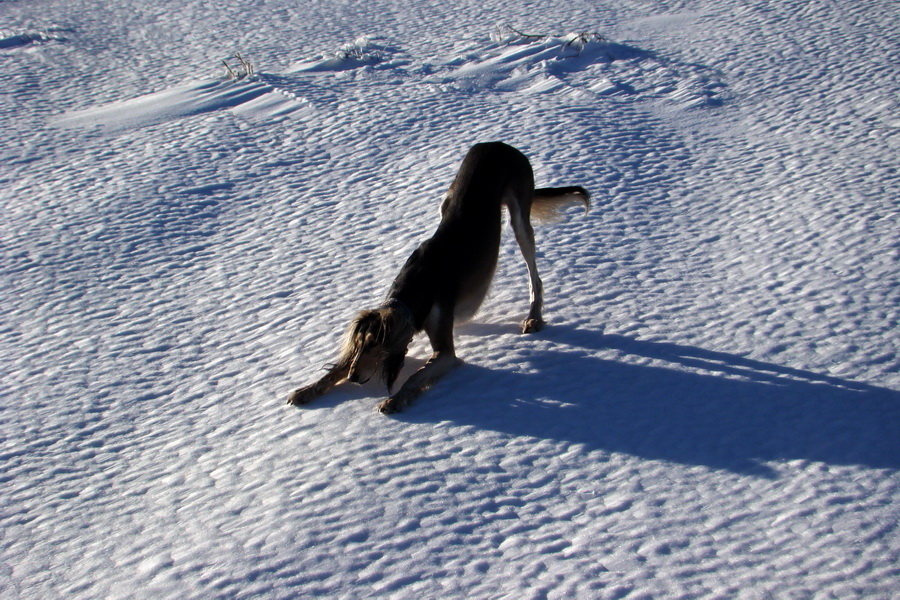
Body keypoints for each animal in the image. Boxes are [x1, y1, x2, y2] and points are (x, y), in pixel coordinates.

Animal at [288, 142, 592, 412]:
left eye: (376, 344)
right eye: (361, 344)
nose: (353, 377)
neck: (416, 289)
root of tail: (499, 144)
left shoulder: (446, 352)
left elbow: (416, 374)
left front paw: (396, 399)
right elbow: (334, 370)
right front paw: (307, 389)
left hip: (519, 214)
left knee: (534, 276)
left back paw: (534, 317)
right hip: (446, 198)